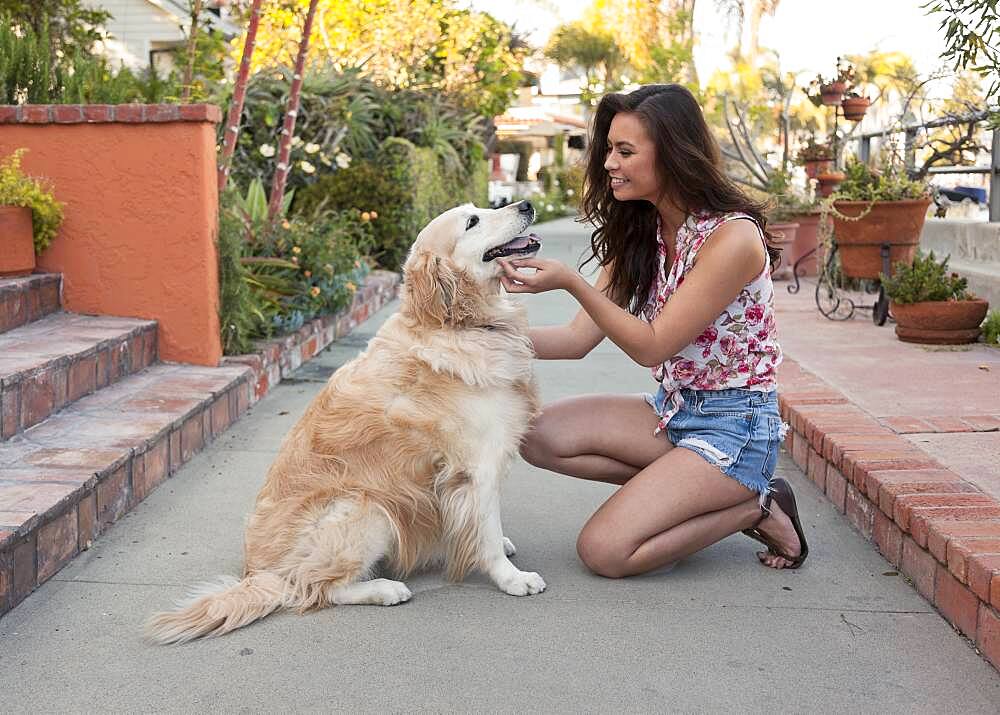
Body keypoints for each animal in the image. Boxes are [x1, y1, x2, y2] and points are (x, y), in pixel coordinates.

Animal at [145, 200, 544, 644]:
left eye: (483, 207)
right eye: (472, 221)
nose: (527, 204)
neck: (457, 325)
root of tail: (259, 574)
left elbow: (485, 522)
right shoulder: (475, 467)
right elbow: (485, 529)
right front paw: (512, 578)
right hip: (366, 506)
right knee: (315, 588)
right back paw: (384, 589)